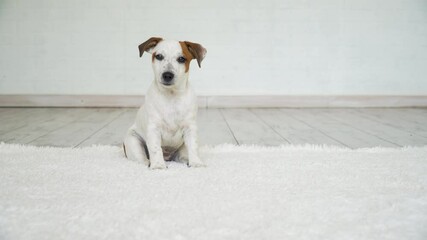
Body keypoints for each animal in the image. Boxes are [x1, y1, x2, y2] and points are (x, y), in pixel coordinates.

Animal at [122, 37, 207, 169]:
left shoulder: (190, 128)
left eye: (181, 59)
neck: (171, 96)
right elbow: (155, 148)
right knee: (142, 159)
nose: (167, 75)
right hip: (134, 142)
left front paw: (196, 163)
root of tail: (168, 157)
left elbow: (193, 147)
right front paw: (158, 165)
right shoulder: (153, 129)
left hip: (182, 148)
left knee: (182, 156)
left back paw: (186, 161)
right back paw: (150, 163)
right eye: (159, 56)